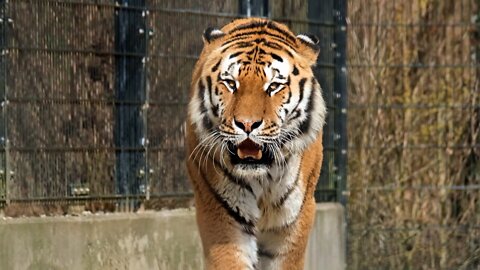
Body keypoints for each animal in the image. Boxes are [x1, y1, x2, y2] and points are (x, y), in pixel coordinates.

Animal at [186, 17, 328, 270]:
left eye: (274, 86)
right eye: (231, 83)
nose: (247, 124)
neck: (264, 177)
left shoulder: (294, 220)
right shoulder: (220, 215)